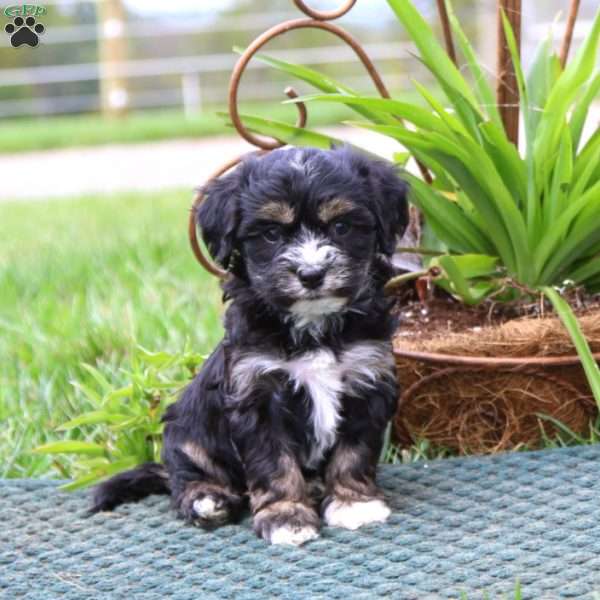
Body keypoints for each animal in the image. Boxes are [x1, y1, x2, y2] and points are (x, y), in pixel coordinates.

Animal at [91, 145, 410, 544]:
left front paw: (354, 503)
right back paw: (207, 500)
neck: (313, 327)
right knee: (187, 476)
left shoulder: (366, 377)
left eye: (341, 227)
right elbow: (274, 464)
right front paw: (286, 517)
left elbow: (355, 450)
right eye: (271, 234)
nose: (311, 274)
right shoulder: (258, 392)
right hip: (186, 433)